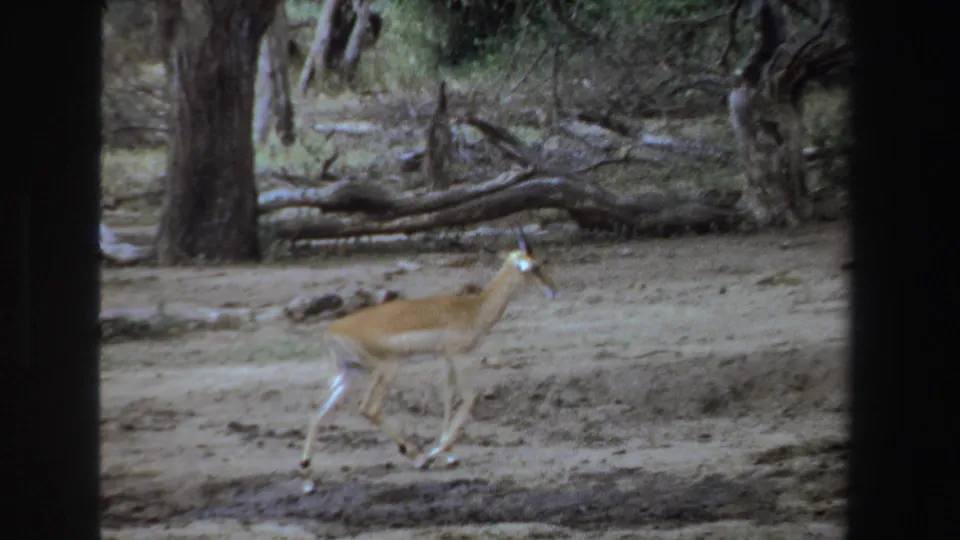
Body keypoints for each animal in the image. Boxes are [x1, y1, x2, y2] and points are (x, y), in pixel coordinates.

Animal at [298, 227, 557, 494]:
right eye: (535, 266)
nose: (553, 290)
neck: (473, 308)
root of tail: (331, 332)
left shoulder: (446, 358)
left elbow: (448, 397)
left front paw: (449, 454)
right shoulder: (460, 357)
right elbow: (470, 397)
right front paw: (437, 452)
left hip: (348, 375)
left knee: (317, 414)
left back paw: (307, 478)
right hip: (386, 370)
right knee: (369, 409)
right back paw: (419, 457)